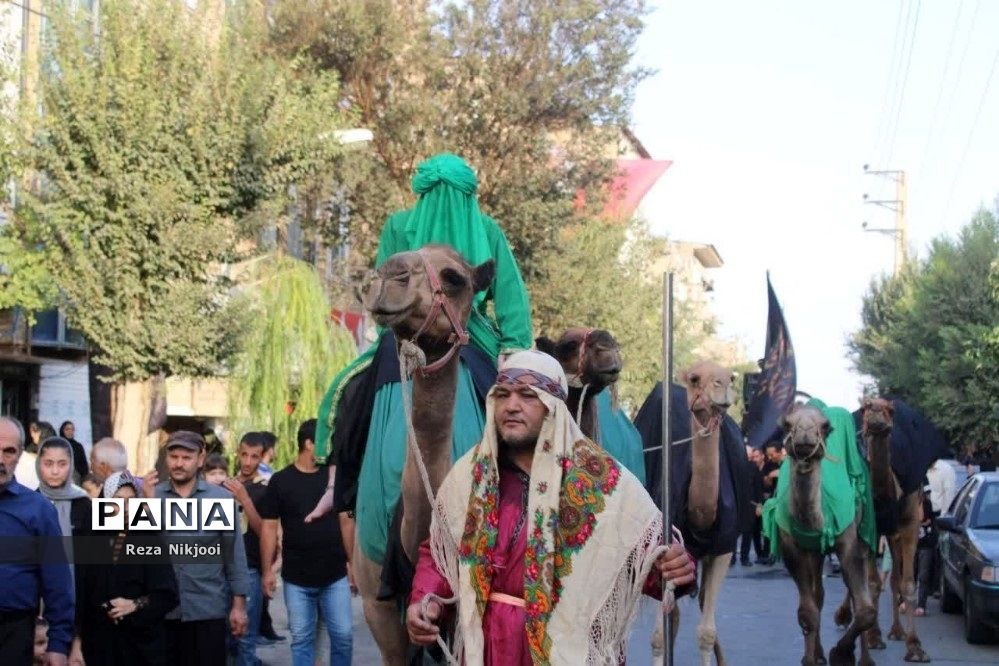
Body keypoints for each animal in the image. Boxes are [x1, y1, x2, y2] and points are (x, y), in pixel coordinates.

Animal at [772, 404, 876, 664]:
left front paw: (841, 652)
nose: (805, 436)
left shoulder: (848, 541)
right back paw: (818, 652)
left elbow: (866, 609)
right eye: (787, 424)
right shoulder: (793, 548)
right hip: (815, 552)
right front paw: (810, 659)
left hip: (864, 535)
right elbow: (807, 611)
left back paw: (865, 658)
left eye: (826, 426)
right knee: (818, 594)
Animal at [840, 396, 932, 660]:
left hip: (894, 534)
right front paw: (873, 637)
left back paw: (897, 631)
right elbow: (871, 583)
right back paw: (845, 617)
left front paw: (915, 647)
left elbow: (908, 584)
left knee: (895, 578)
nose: (876, 414)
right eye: (864, 408)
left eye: (890, 410)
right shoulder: (869, 530)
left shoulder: (910, 524)